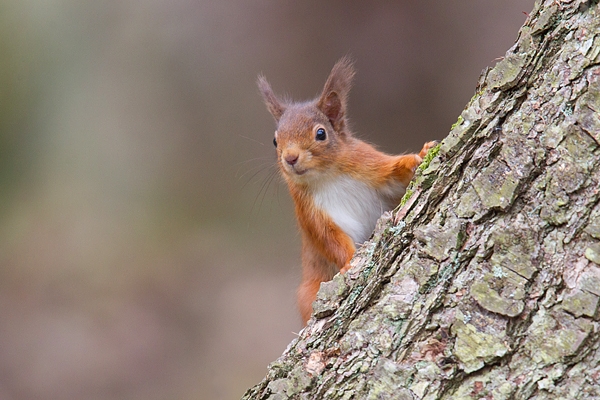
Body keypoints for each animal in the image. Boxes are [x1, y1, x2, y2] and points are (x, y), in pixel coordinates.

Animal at [258, 57, 436, 324]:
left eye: (321, 133)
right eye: (275, 141)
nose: (290, 158)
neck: (328, 176)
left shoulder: (369, 164)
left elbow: (395, 174)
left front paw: (420, 156)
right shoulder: (310, 212)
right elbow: (330, 239)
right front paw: (350, 264)